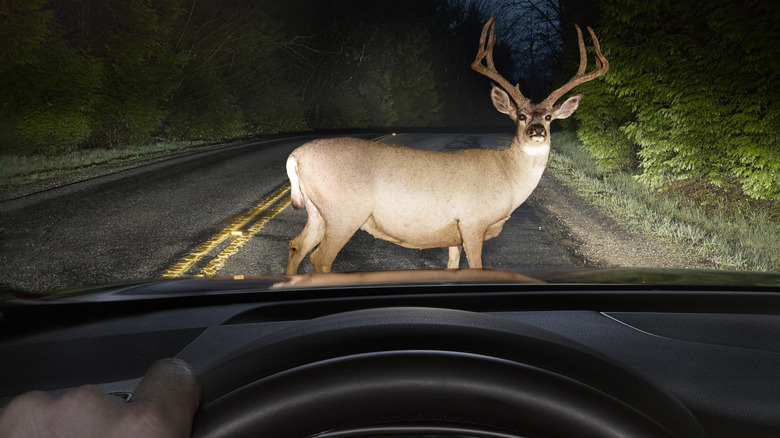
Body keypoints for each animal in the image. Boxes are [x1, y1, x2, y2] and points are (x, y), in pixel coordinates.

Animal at [286, 18, 608, 274]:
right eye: (521, 116)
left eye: (550, 117)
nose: (537, 130)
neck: (507, 178)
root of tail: (296, 157)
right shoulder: (473, 222)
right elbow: (477, 267)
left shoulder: (455, 233)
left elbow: (452, 265)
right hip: (344, 213)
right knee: (320, 259)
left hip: (318, 212)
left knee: (296, 245)